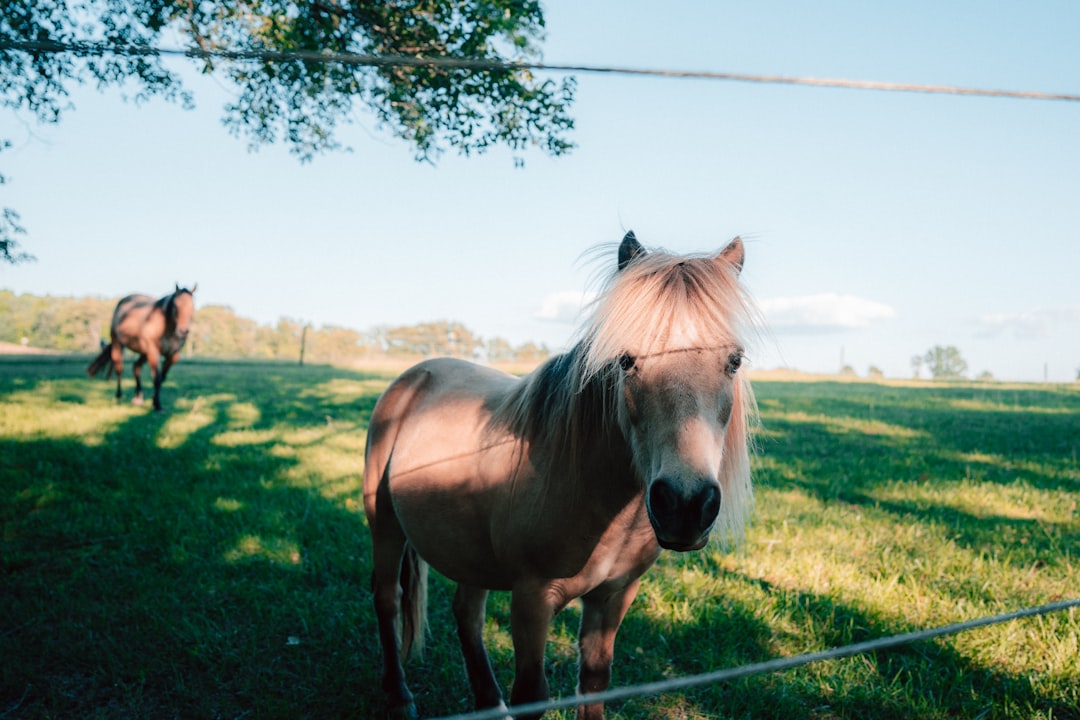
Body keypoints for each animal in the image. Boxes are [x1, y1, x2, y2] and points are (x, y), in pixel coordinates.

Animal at [87, 282, 197, 410]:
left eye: (192, 306)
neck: (165, 328)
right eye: (176, 306)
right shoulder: (153, 351)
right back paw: (119, 396)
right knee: (119, 369)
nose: (183, 331)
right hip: (118, 344)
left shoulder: (173, 354)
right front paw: (157, 404)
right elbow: (157, 378)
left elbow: (162, 376)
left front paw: (154, 399)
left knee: (136, 367)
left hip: (143, 352)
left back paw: (138, 397)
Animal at [362, 235, 760, 720]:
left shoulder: (614, 597)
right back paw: (399, 695)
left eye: (734, 361)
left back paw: (489, 702)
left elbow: (594, 683)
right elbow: (533, 694)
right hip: (385, 525)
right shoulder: (532, 601)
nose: (684, 506)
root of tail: (414, 375)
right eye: (625, 360)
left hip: (470, 552)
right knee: (387, 598)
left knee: (466, 614)